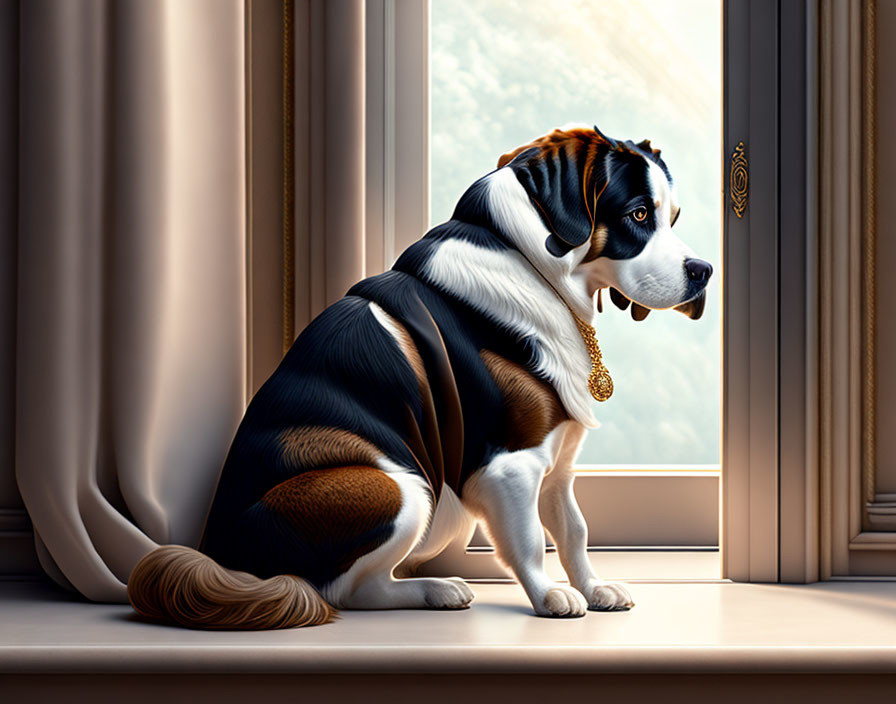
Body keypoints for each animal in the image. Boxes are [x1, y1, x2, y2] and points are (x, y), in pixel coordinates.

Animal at [128, 125, 712, 628]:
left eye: (673, 217)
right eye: (639, 214)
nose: (703, 271)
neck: (531, 262)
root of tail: (219, 557)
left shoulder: (558, 464)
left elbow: (574, 531)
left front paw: (593, 587)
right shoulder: (511, 465)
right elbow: (527, 538)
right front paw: (550, 596)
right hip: (403, 487)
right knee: (343, 591)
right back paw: (435, 589)